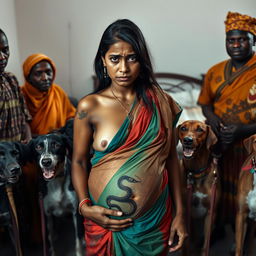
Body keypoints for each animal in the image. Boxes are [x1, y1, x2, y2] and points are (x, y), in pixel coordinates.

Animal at [178, 120, 220, 256]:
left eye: (200, 130)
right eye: (183, 128)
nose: (187, 140)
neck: (195, 172)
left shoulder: (211, 213)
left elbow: (205, 244)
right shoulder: (186, 211)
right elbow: (187, 242)